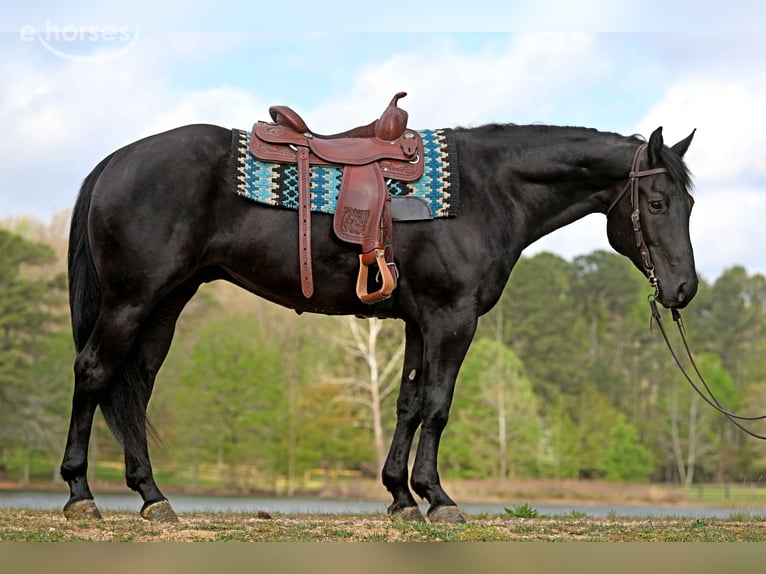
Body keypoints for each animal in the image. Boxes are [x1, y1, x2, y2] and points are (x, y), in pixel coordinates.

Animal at [61, 113, 697, 523]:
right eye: (657, 203)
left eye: (689, 203)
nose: (684, 289)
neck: (490, 189)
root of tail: (117, 159)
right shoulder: (451, 318)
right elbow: (438, 406)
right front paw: (437, 498)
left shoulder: (421, 321)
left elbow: (409, 403)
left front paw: (400, 497)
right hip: (131, 300)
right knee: (94, 372)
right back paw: (80, 494)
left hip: (165, 304)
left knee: (136, 388)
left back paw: (151, 495)